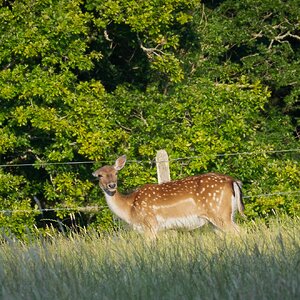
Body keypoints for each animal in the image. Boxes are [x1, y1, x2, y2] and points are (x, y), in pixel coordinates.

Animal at [92, 155, 245, 239]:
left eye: (116, 173)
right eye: (100, 175)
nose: (112, 185)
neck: (130, 209)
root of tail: (233, 181)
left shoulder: (150, 224)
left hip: (219, 213)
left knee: (240, 232)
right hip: (222, 217)